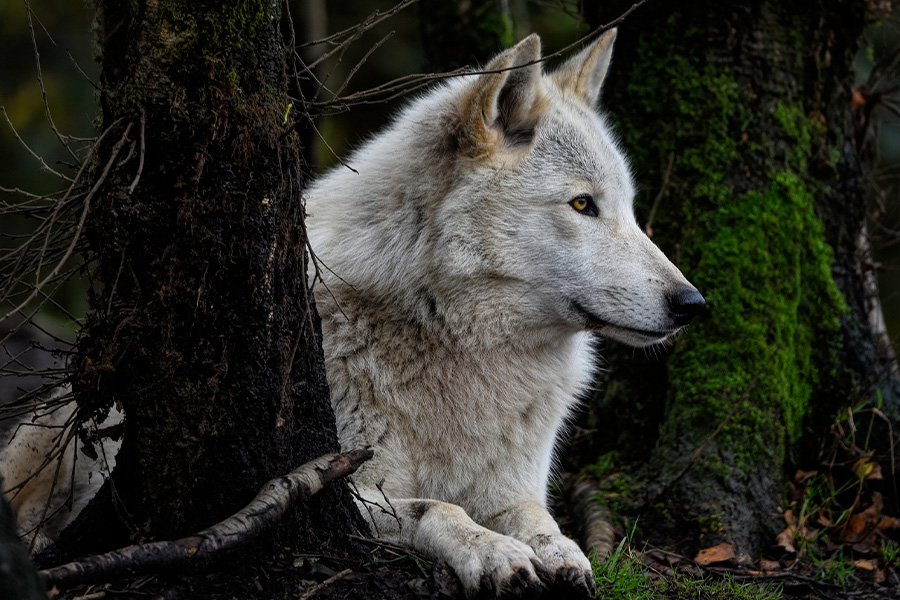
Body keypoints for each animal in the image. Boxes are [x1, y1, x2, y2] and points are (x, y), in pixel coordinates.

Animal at [305, 30, 705, 598]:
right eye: (582, 204)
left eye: (629, 208)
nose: (692, 304)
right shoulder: (351, 488)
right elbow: (440, 508)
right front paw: (495, 554)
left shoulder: (514, 486)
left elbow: (538, 518)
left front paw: (562, 553)